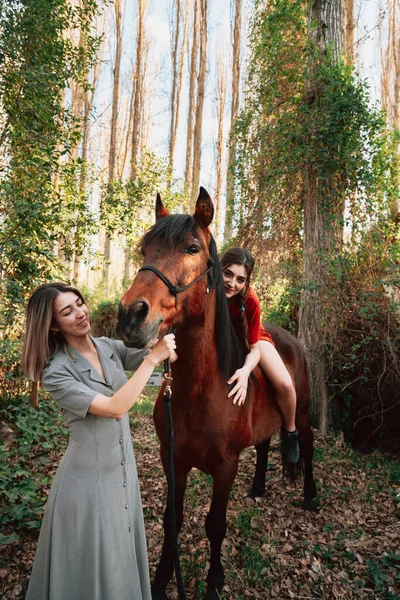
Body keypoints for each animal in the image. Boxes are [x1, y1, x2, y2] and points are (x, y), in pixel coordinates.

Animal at [116, 189, 318, 600]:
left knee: (304, 445)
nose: (130, 314)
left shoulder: (225, 467)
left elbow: (215, 524)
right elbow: (172, 519)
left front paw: (213, 581)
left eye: (192, 247)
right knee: (263, 446)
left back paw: (309, 495)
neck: (198, 392)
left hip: (303, 412)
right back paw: (258, 488)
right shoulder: (173, 459)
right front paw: (162, 579)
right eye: (145, 249)